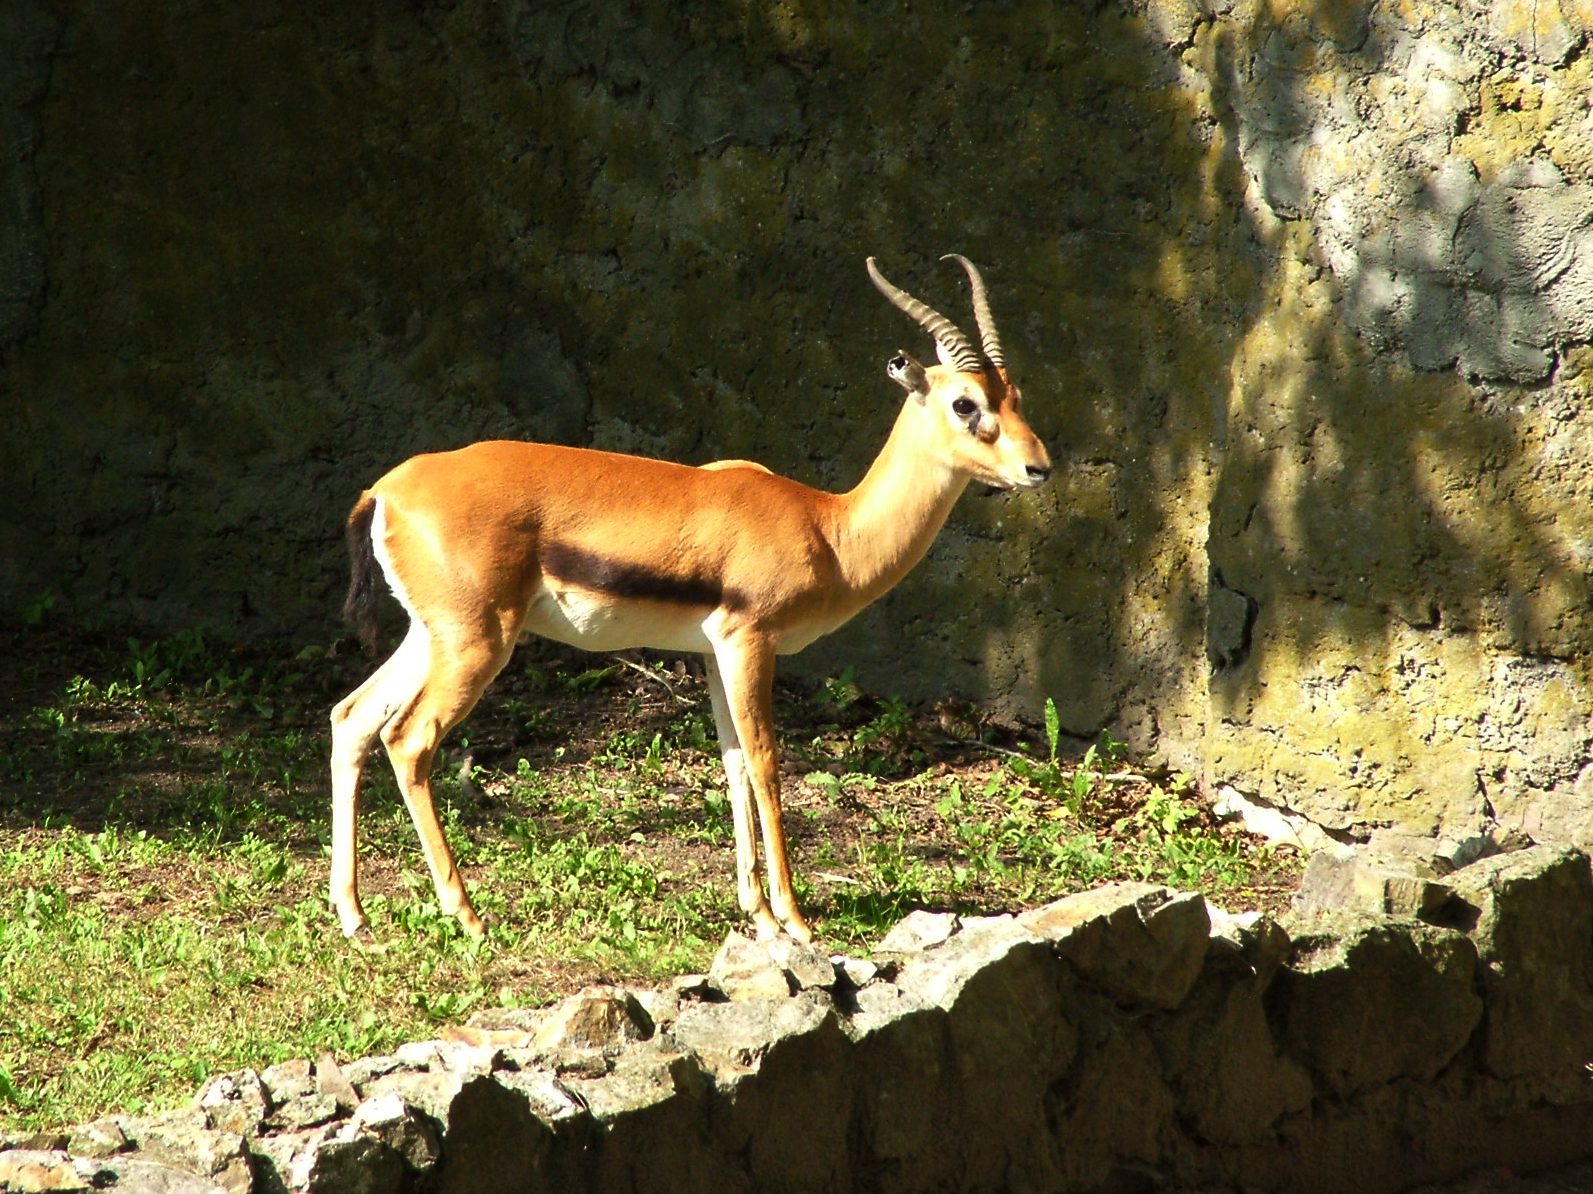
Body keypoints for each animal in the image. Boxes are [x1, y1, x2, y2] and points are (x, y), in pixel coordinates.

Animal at [329, 255, 1051, 943]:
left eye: (1015, 396)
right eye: (965, 404)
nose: (1037, 467)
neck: (829, 528)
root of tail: (387, 489)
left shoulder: (710, 653)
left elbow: (730, 764)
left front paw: (757, 914)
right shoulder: (749, 641)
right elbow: (764, 763)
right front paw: (794, 919)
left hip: (432, 636)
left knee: (351, 717)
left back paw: (356, 918)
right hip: (477, 643)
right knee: (408, 739)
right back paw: (469, 916)